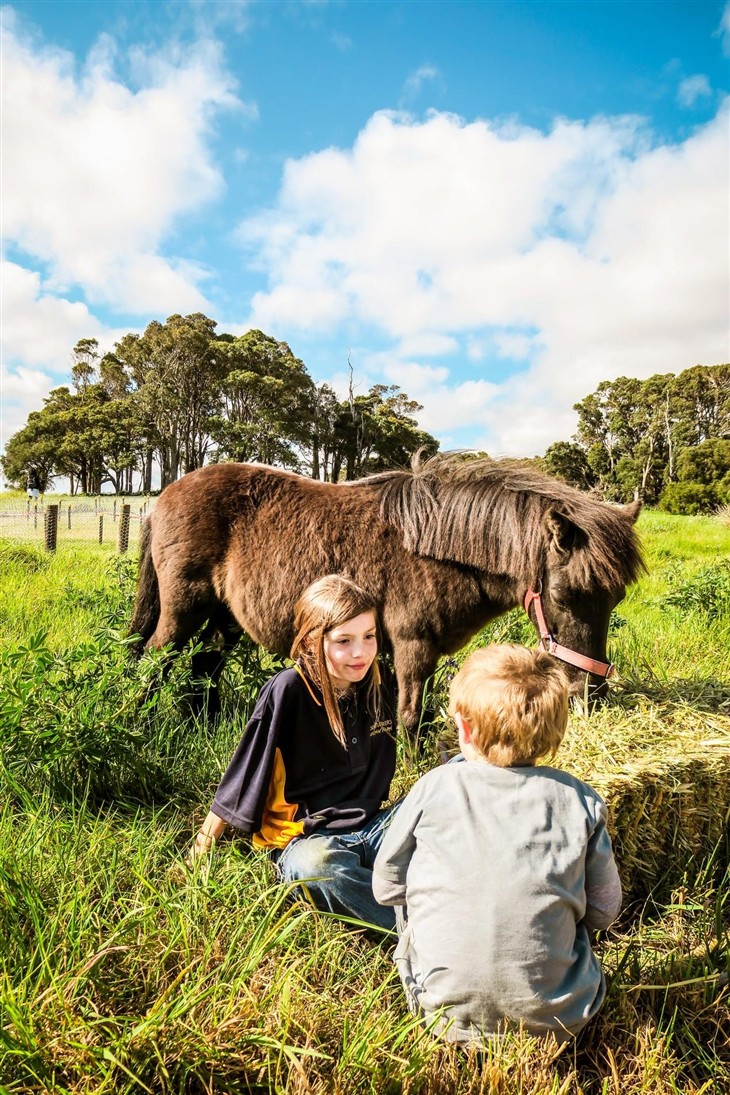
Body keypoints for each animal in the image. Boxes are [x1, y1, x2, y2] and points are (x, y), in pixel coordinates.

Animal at [131, 453, 643, 735]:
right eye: (566, 594)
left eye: (615, 598)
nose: (591, 695)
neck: (439, 549)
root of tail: (162, 497)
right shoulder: (413, 646)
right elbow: (410, 717)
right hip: (184, 608)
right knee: (155, 658)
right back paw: (140, 719)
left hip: (225, 617)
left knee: (204, 665)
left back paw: (201, 724)